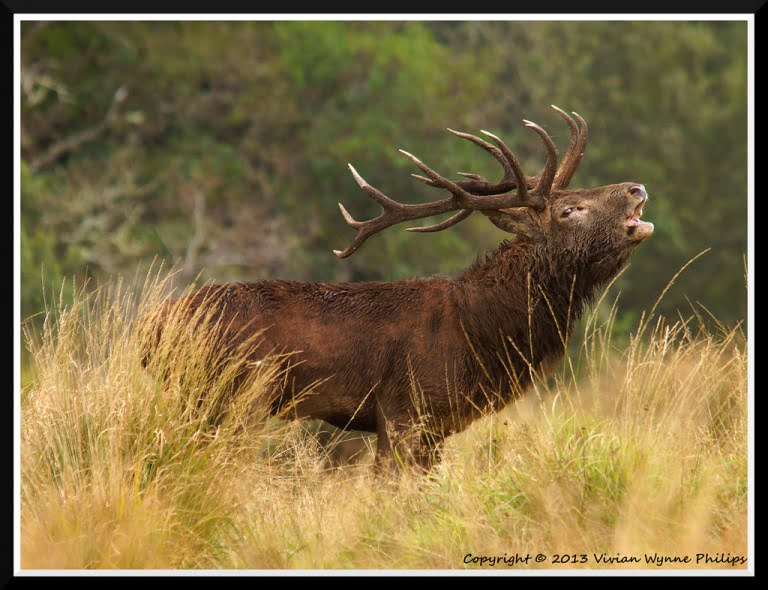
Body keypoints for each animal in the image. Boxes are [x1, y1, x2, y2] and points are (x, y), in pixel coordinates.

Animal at [143, 106, 654, 473]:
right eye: (570, 210)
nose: (637, 188)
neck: (482, 332)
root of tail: (148, 329)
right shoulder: (404, 411)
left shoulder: (436, 427)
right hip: (223, 394)